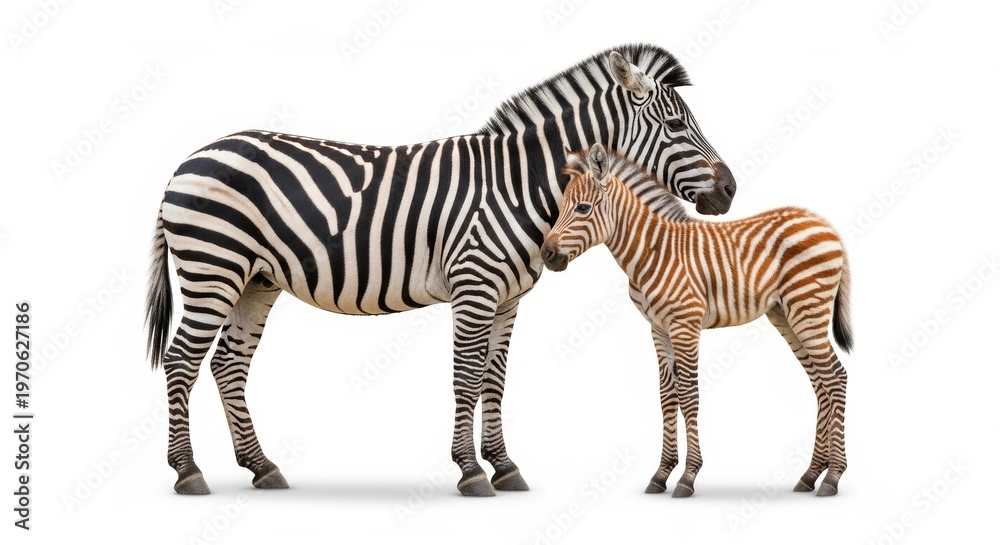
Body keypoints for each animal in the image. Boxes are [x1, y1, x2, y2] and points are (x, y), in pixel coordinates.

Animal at [144, 44, 738, 497]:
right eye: (674, 123)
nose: (730, 189)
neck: (520, 185)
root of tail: (188, 159)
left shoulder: (507, 296)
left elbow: (495, 379)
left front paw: (505, 467)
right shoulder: (475, 285)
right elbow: (466, 377)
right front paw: (471, 472)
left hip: (255, 279)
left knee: (228, 363)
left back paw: (262, 467)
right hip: (213, 268)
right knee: (181, 360)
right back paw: (188, 473)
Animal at [541, 144, 852, 497]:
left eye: (582, 208)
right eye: (561, 207)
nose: (546, 255)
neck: (652, 251)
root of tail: (826, 225)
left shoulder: (684, 325)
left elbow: (689, 393)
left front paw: (688, 476)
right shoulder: (658, 328)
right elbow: (667, 395)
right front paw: (661, 473)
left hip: (807, 309)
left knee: (836, 377)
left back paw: (833, 476)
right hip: (787, 315)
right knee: (821, 382)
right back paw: (811, 474)